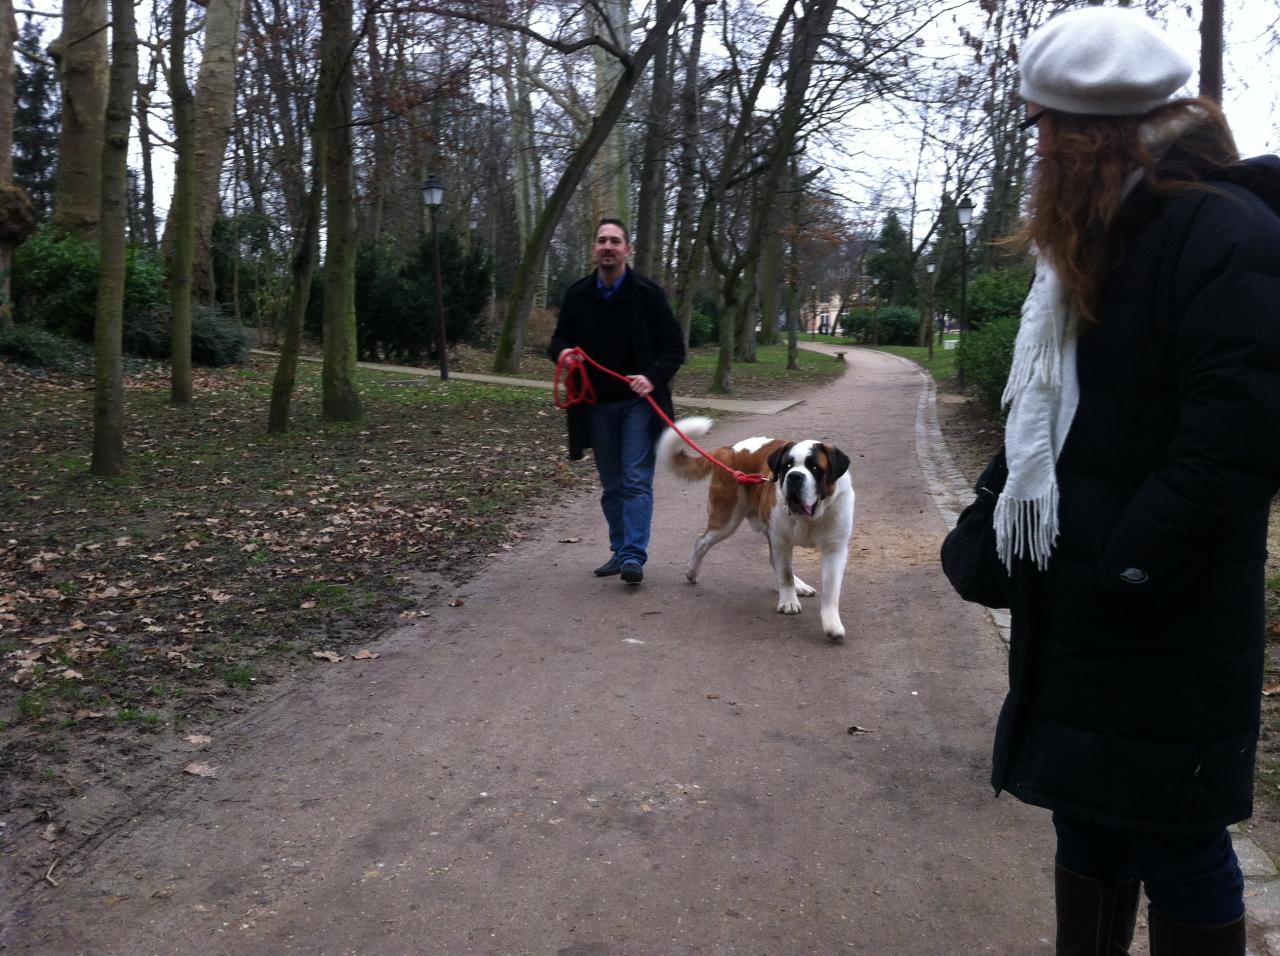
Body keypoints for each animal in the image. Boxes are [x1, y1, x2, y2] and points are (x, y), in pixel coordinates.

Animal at [655, 419, 855, 642]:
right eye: (787, 466)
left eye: (814, 467)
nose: (794, 476)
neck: (809, 517)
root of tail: (729, 449)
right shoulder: (781, 540)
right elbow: (785, 573)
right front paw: (788, 601)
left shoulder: (835, 549)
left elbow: (831, 589)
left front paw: (832, 623)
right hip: (727, 519)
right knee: (702, 541)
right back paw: (691, 572)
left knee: (772, 558)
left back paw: (800, 585)